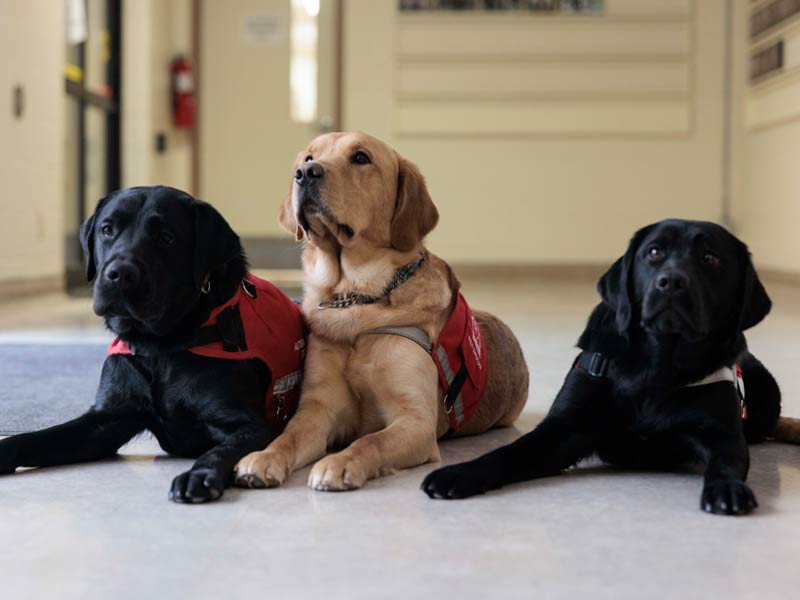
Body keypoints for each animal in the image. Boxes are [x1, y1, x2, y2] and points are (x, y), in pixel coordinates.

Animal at [0, 186, 306, 502]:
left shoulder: (249, 426)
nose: (119, 274)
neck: (160, 349)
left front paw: (198, 475)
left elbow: (219, 451)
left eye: (166, 238)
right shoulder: (104, 421)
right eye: (107, 230)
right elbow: (34, 438)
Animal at [234, 132, 528, 492]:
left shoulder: (415, 419)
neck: (355, 298)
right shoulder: (317, 409)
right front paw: (264, 457)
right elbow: (287, 437)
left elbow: (370, 441)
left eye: (361, 158)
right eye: (308, 157)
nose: (305, 173)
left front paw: (339, 463)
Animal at [424, 220, 792, 516]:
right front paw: (459, 472)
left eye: (710, 258)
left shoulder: (721, 433)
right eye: (654, 252)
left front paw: (727, 489)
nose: (672, 281)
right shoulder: (563, 428)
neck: (655, 366)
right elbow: (507, 453)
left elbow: (726, 463)